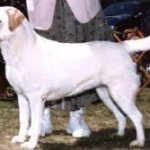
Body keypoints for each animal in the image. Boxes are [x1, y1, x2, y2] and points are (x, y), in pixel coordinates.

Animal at [0, 6, 150, 149]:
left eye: (0, 21)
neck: (18, 51)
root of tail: (122, 47)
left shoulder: (36, 97)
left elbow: (36, 124)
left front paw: (31, 144)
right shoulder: (21, 96)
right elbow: (23, 120)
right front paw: (20, 138)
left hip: (121, 94)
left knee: (137, 116)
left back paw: (139, 141)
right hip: (105, 94)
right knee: (120, 115)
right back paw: (119, 134)